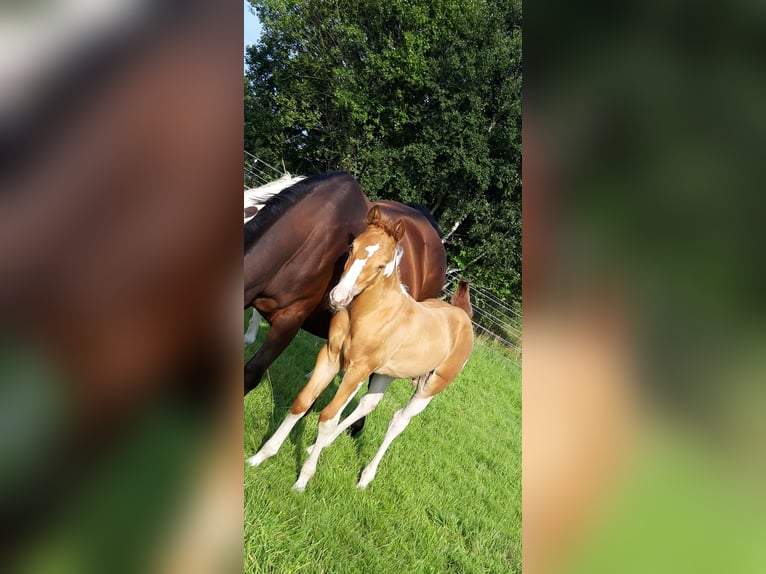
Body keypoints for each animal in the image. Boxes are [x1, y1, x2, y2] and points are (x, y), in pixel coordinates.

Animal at [247, 205, 474, 490]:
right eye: (351, 247)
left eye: (381, 265)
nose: (338, 297)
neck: (372, 313)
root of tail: (463, 316)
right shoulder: (331, 357)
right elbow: (302, 403)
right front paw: (260, 456)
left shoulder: (357, 370)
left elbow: (327, 417)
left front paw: (303, 480)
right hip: (386, 374)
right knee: (369, 404)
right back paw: (317, 447)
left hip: (430, 387)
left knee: (398, 421)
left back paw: (365, 477)